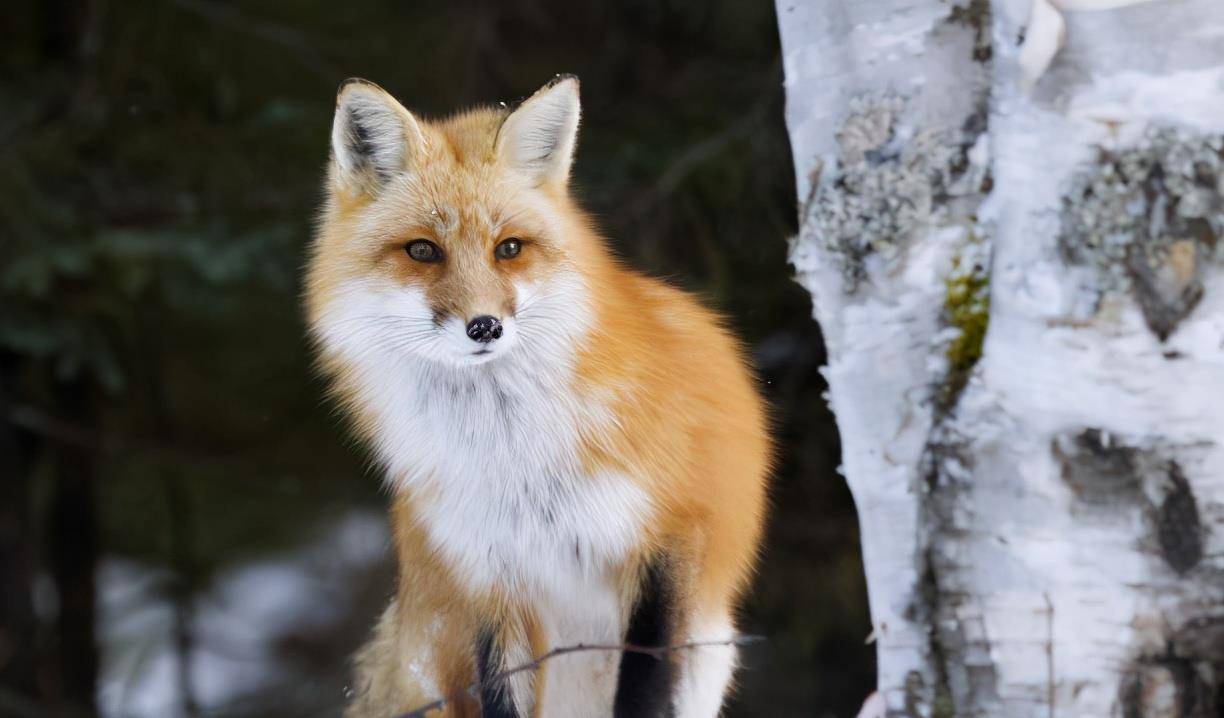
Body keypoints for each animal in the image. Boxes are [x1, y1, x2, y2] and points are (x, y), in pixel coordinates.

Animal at [302, 74, 768, 718]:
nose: (484, 327)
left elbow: (645, 687)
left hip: (706, 654)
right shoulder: (491, 580)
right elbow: (503, 695)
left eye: (509, 248)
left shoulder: (671, 535)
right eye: (422, 250)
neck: (514, 456)